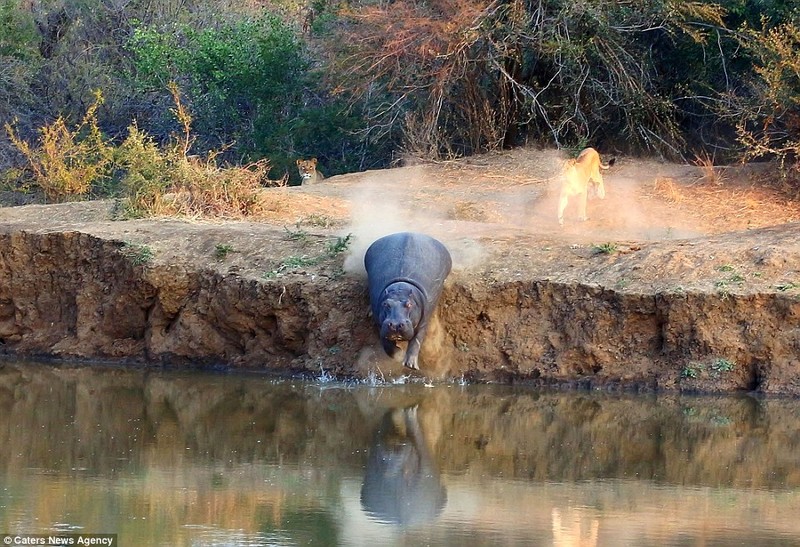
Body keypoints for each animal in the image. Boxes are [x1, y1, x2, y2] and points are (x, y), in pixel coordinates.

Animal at [366, 233, 454, 370]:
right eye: (385, 304)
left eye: (409, 304)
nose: (395, 324)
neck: (400, 287)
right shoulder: (381, 323)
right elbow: (387, 345)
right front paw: (399, 355)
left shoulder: (423, 321)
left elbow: (416, 341)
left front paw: (411, 365)